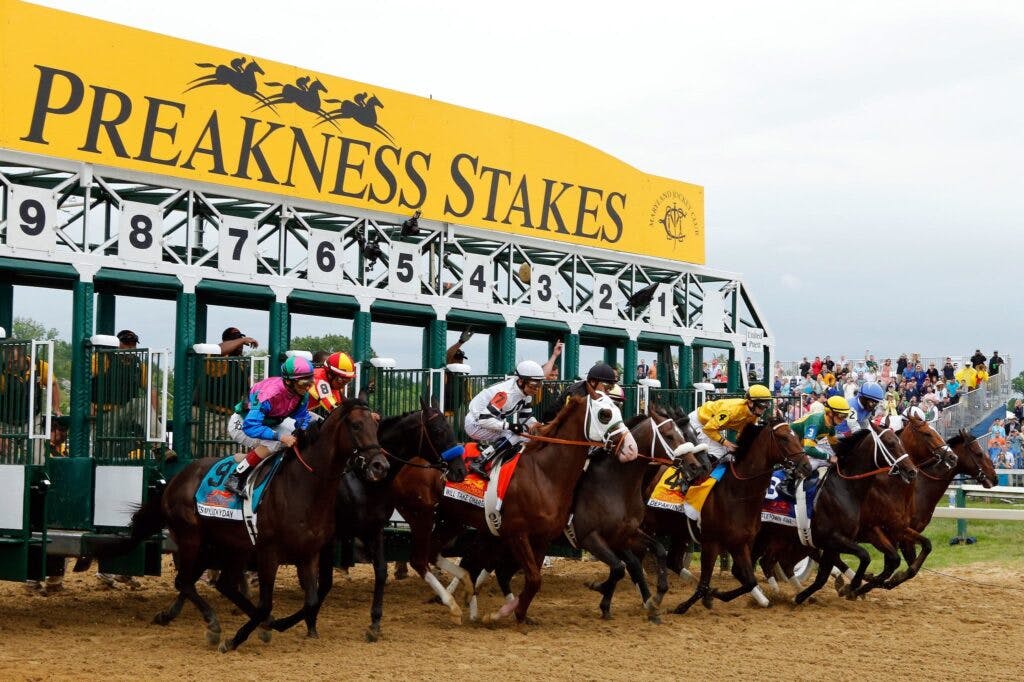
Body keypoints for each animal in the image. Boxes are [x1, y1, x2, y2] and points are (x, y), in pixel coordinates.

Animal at [264, 395, 460, 638]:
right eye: (439, 430)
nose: (460, 469)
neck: (362, 481)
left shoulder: (373, 529)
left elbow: (381, 571)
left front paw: (375, 622)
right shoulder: (329, 537)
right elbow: (324, 582)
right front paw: (300, 621)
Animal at [389, 385, 634, 622]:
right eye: (605, 414)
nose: (631, 448)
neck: (544, 473)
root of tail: (408, 462)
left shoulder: (542, 538)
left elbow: (530, 579)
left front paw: (518, 613)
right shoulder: (517, 534)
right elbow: (531, 578)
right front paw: (503, 613)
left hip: (451, 519)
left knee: (437, 555)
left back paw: (468, 594)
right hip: (421, 515)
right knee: (420, 559)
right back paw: (454, 604)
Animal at [671, 417, 815, 614]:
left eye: (796, 436)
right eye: (784, 438)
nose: (807, 466)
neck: (737, 492)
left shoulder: (741, 543)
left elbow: (748, 580)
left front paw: (717, 594)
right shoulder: (711, 542)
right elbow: (704, 584)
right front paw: (684, 606)